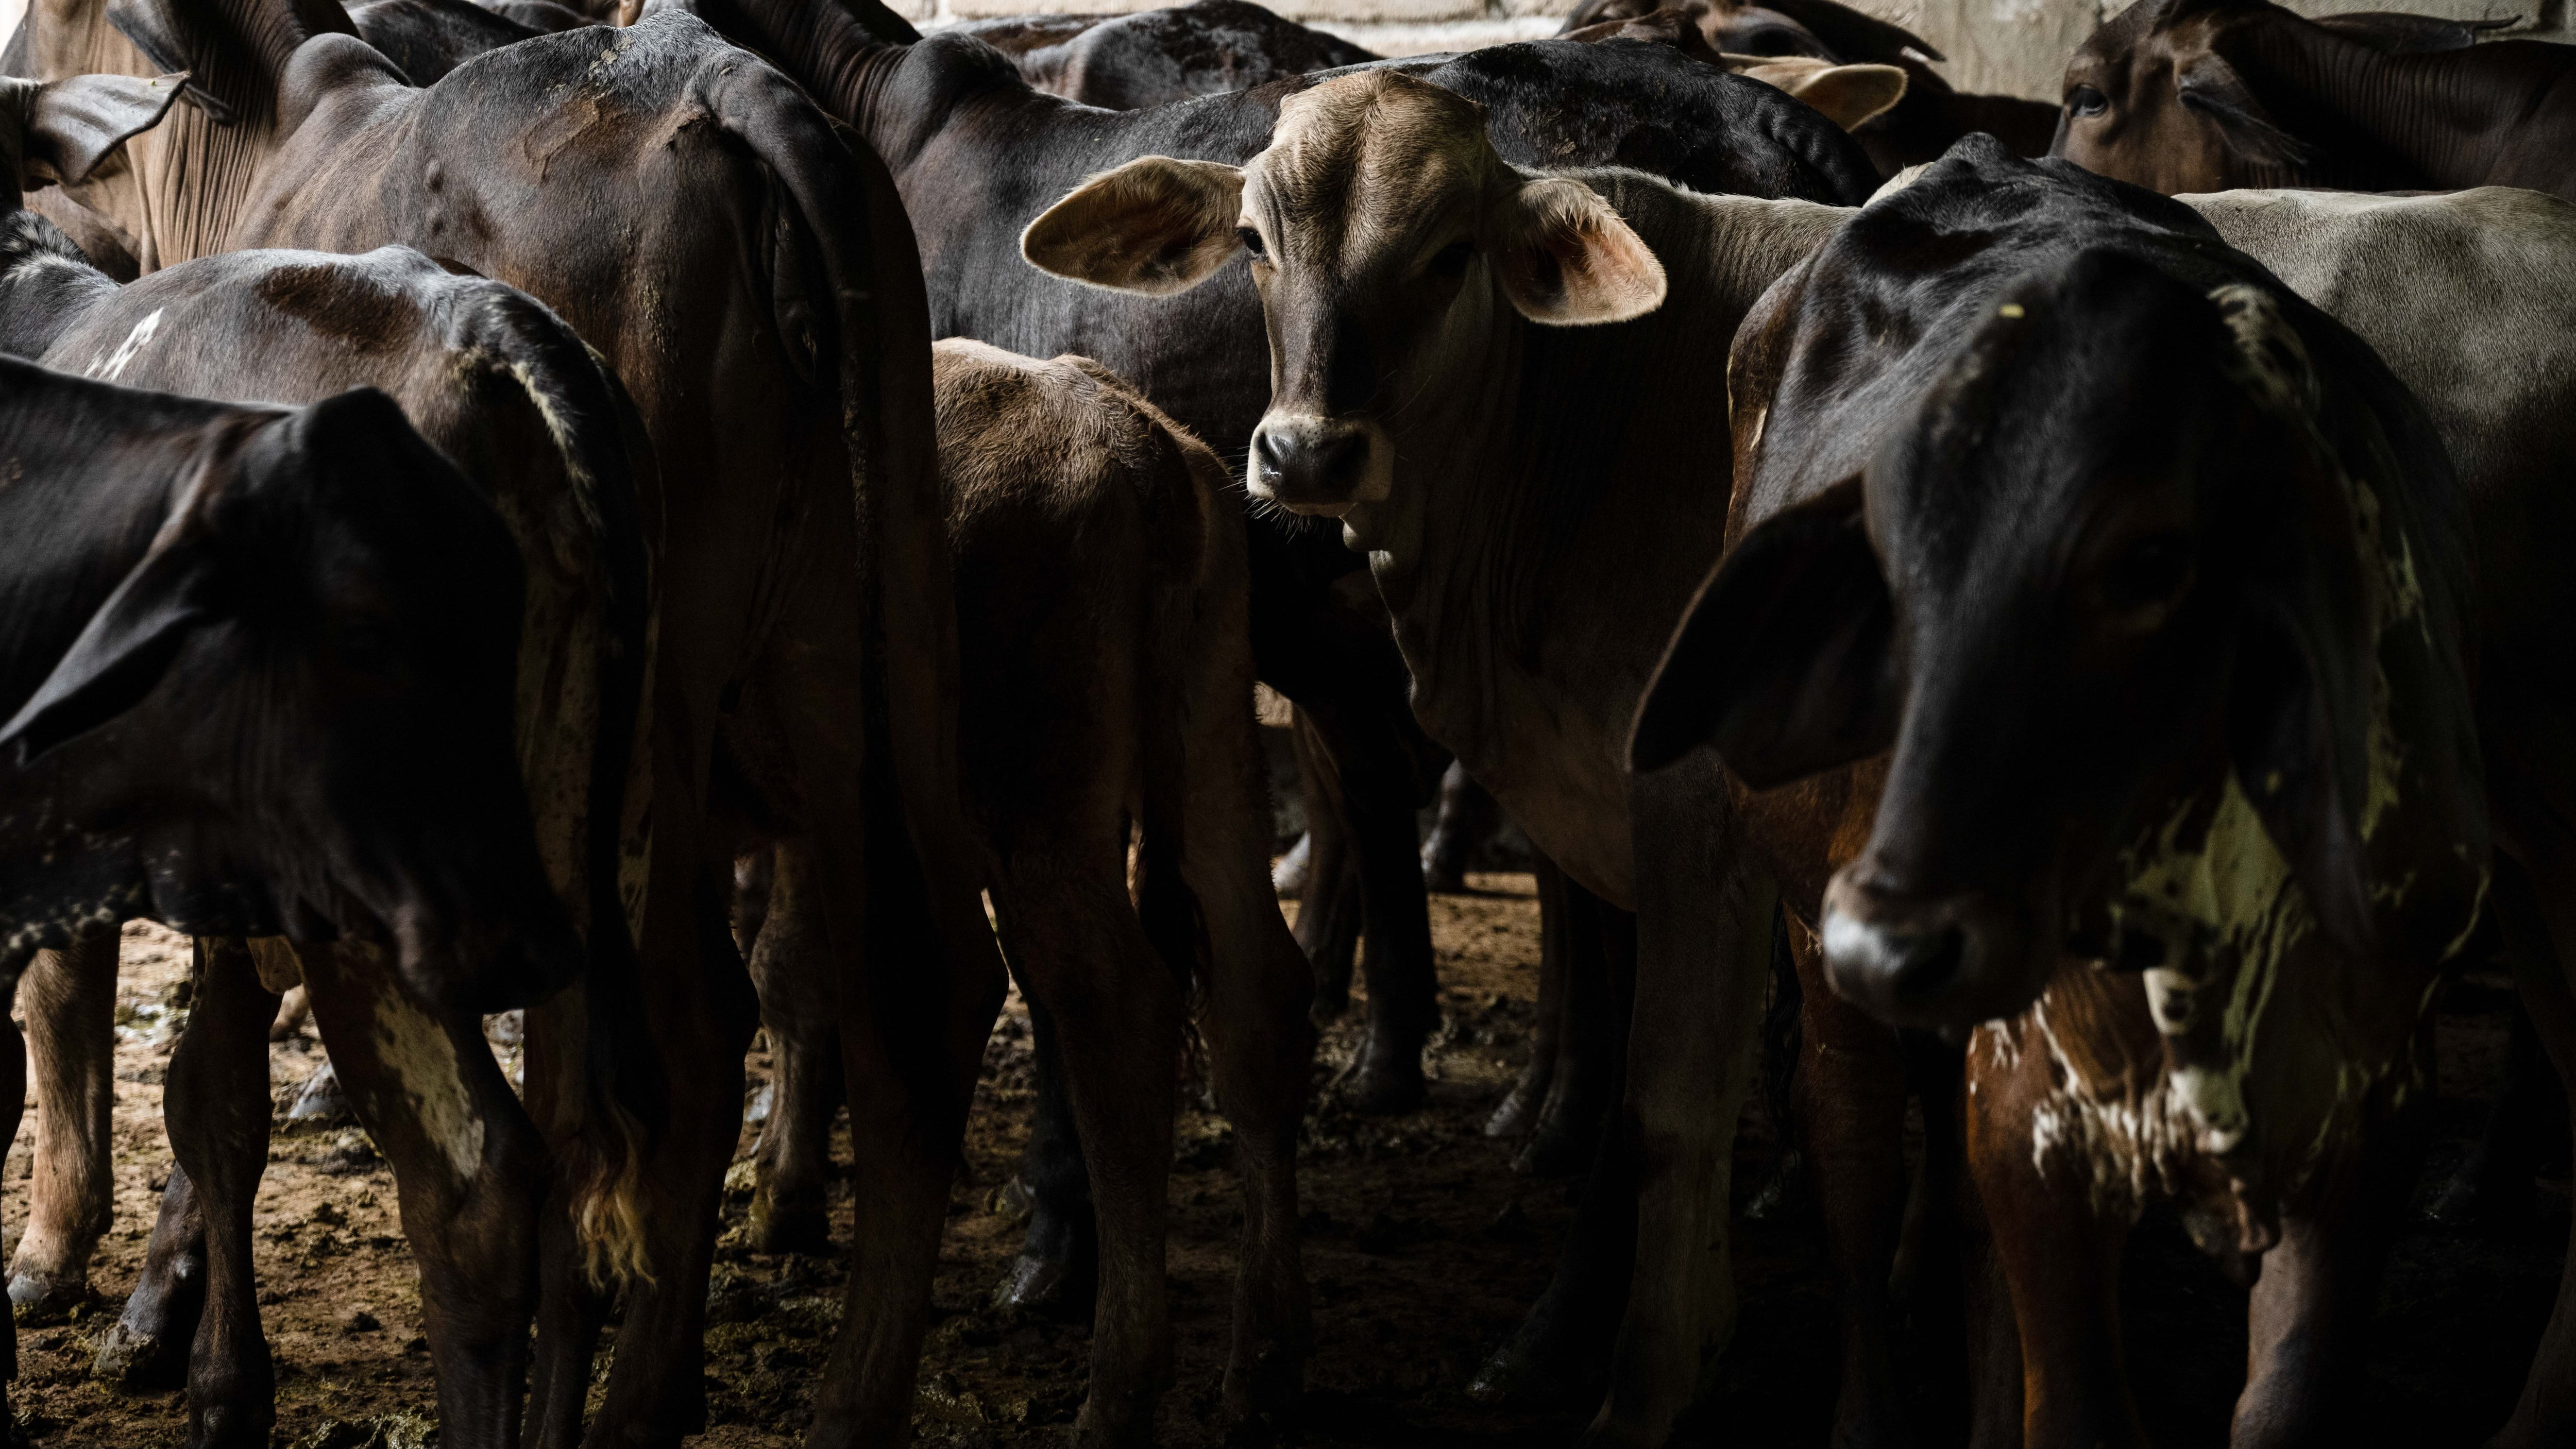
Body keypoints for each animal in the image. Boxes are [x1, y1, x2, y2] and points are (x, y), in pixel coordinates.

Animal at [9, 0, 1001, 1443]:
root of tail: (736, 92)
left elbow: (203, 1077)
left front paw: (161, 1322)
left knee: (667, 1048)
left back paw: (643, 1396)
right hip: (873, 642)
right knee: (909, 991)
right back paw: (836, 1396)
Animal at [737, 338, 1315, 1444]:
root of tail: (1132, 436)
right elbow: (792, 967)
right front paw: (785, 1186)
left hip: (1036, 809)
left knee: (1116, 1009)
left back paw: (1119, 1390)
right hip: (1214, 743)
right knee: (1256, 993)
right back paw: (1262, 1363)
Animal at [1629, 138, 2571, 1446]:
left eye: (2146, 564)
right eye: (1889, 567)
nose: (1901, 934)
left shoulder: (2366, 1128)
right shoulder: (2038, 1130)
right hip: (1817, 936)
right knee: (1855, 1155)